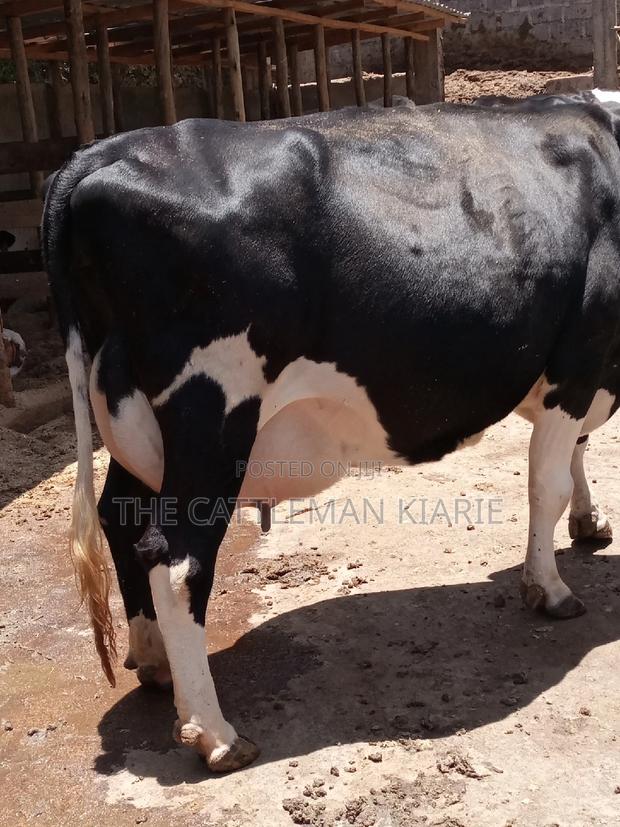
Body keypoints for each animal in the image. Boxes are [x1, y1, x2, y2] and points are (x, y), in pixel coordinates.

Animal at [42, 92, 620, 772]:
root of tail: (104, 151)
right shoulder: (579, 357)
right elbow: (546, 484)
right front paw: (550, 588)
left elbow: (576, 457)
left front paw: (588, 523)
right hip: (211, 414)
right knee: (176, 556)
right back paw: (216, 733)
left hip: (132, 415)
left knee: (121, 514)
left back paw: (157, 663)